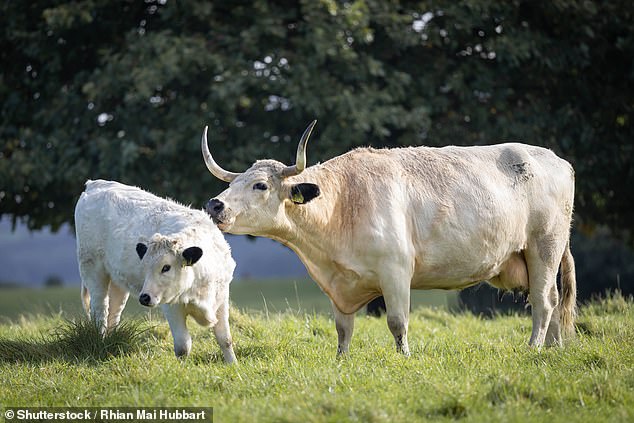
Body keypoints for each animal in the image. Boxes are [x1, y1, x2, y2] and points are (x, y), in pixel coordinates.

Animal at [74, 181, 237, 362]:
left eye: (166, 267)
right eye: (145, 267)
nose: (144, 297)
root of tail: (95, 184)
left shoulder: (221, 297)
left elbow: (225, 339)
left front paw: (232, 364)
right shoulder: (172, 306)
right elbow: (183, 346)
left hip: (117, 281)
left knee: (114, 311)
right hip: (92, 269)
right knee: (100, 309)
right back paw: (100, 339)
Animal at [200, 121, 576, 356]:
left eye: (260, 185)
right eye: (234, 183)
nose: (214, 204)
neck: (343, 204)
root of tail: (554, 158)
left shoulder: (396, 271)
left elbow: (397, 321)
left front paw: (404, 357)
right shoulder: (340, 285)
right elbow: (343, 329)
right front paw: (341, 360)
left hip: (544, 245)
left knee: (543, 301)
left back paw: (533, 347)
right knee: (554, 299)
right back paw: (554, 349)